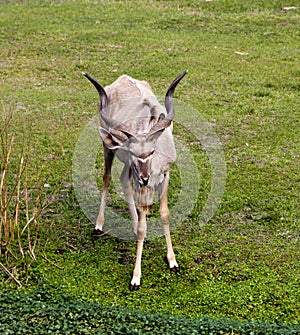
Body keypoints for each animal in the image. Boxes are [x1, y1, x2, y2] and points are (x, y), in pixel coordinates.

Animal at [83, 69, 186, 290]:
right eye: (132, 151)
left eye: (152, 151)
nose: (145, 178)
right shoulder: (138, 177)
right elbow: (142, 226)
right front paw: (135, 278)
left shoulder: (165, 174)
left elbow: (164, 213)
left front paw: (172, 261)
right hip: (109, 149)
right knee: (107, 178)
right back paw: (98, 225)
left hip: (130, 170)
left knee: (123, 181)